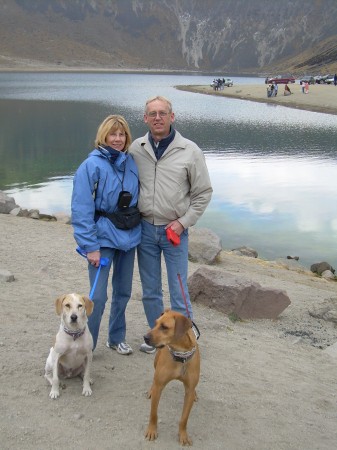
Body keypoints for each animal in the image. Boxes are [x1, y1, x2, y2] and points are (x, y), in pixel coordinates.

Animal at [142, 310, 200, 446]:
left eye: (164, 327)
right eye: (155, 323)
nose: (145, 337)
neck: (181, 355)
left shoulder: (189, 391)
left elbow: (184, 418)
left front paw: (183, 435)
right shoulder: (159, 386)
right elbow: (153, 413)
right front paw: (152, 430)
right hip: (156, 363)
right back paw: (151, 390)